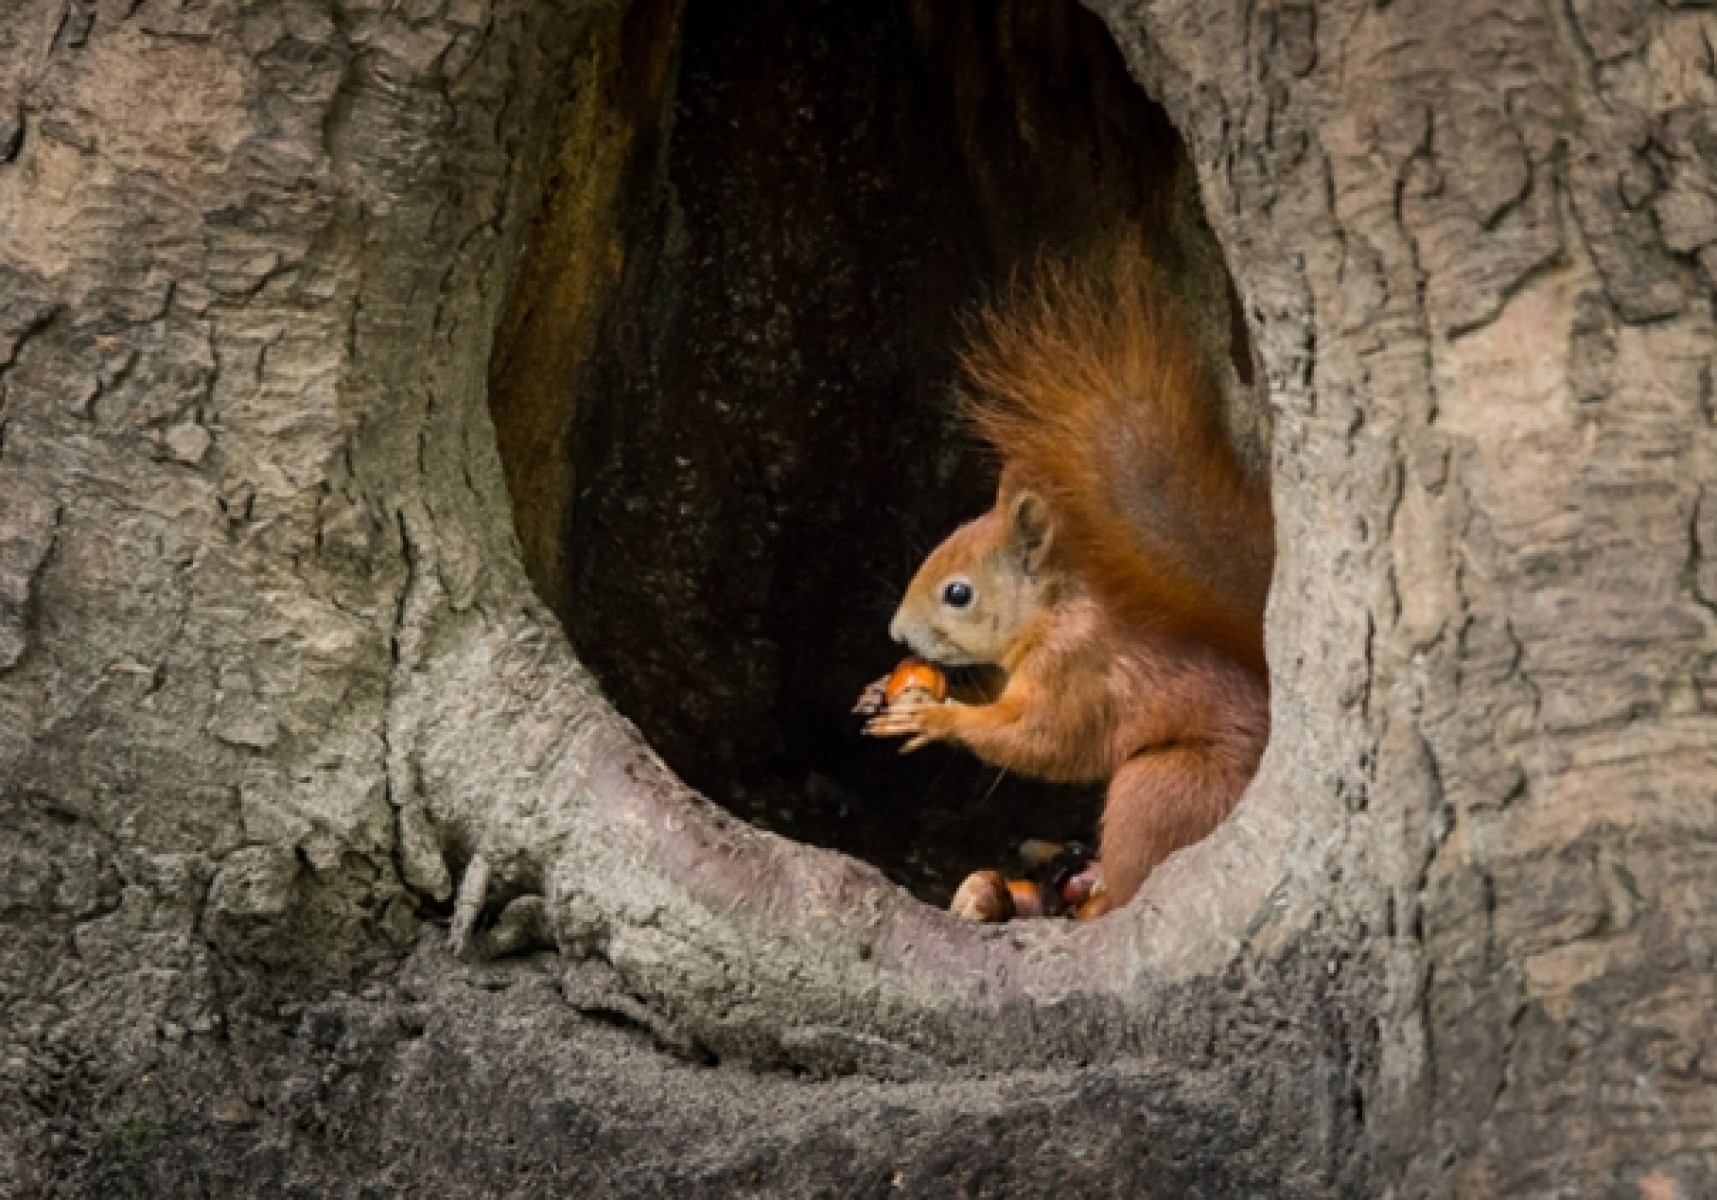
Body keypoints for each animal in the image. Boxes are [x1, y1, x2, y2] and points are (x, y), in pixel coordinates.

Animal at [858, 247, 1277, 920]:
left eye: (958, 593)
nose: (897, 632)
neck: (1051, 614)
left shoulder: (1077, 669)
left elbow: (1039, 740)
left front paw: (936, 720)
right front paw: (880, 689)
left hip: (1161, 787)